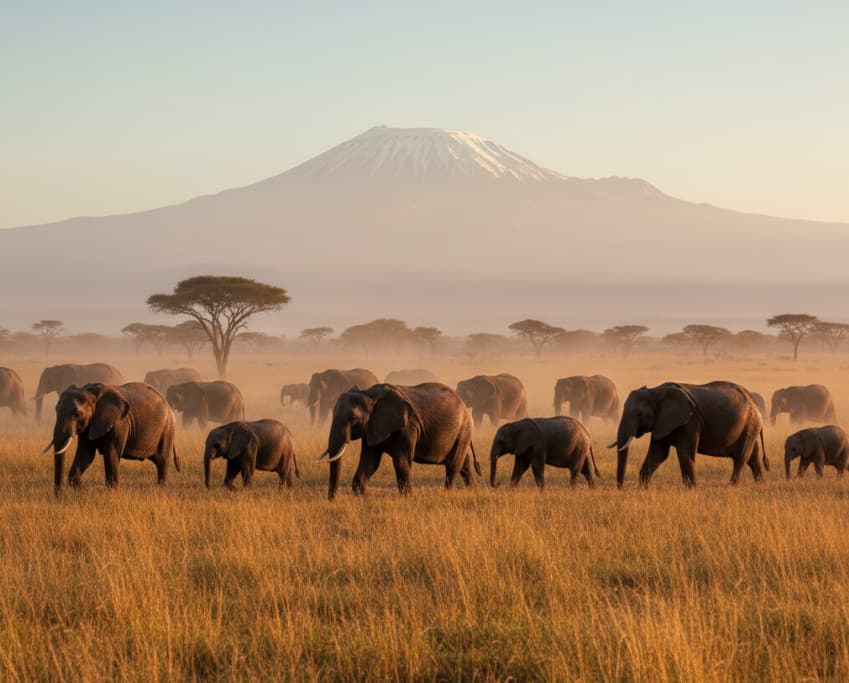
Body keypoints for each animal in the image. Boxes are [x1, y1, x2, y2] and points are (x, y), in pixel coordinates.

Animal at [42, 382, 179, 494]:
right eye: (56, 411)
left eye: (76, 414)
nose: (59, 495)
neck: (90, 392)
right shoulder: (89, 426)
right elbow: (86, 455)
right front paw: (79, 492)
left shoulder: (119, 424)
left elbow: (111, 454)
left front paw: (112, 494)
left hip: (167, 429)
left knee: (162, 460)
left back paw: (162, 489)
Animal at [318, 382, 481, 500]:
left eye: (352, 419)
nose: (332, 499)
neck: (369, 394)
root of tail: (464, 405)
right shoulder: (372, 427)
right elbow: (370, 462)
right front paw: (361, 498)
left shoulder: (407, 428)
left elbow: (401, 461)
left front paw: (408, 498)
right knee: (464, 465)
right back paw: (473, 492)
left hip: (463, 429)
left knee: (453, 464)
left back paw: (447, 493)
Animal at [610, 381, 768, 488]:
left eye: (640, 415)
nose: (620, 488)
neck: (656, 391)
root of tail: (754, 401)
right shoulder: (661, 422)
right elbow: (658, 454)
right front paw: (643, 488)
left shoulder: (690, 421)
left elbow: (685, 452)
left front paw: (691, 489)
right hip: (750, 427)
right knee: (753, 458)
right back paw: (760, 485)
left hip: (749, 425)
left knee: (741, 458)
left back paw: (731, 486)